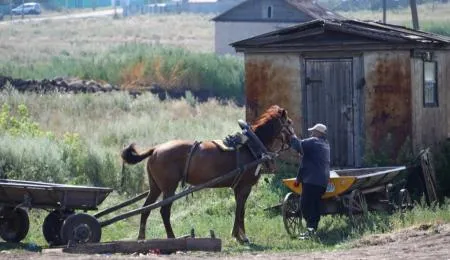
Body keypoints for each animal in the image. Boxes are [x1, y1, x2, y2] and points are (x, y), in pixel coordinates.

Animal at [121, 104, 294, 243]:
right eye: (289, 123)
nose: (295, 139)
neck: (251, 145)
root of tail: (155, 149)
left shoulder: (238, 188)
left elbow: (239, 209)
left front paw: (236, 234)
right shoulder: (245, 187)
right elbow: (241, 210)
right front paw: (243, 237)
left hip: (155, 187)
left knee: (146, 209)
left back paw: (141, 237)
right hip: (169, 188)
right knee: (164, 211)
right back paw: (171, 237)